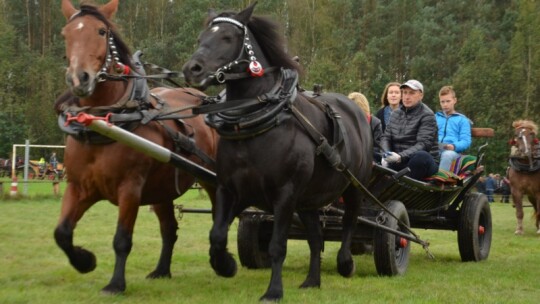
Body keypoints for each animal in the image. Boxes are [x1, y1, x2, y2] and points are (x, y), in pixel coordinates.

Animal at [53, 0, 217, 294]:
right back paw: (162, 270)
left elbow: (122, 239)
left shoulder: (130, 188)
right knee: (169, 229)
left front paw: (115, 284)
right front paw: (85, 261)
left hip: (212, 179)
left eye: (101, 32)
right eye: (66, 33)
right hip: (162, 189)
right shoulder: (79, 187)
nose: (79, 79)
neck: (106, 124)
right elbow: (62, 232)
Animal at [181, 2, 372, 302]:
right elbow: (217, 235)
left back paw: (345, 263)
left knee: (350, 222)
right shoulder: (231, 189)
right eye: (201, 38)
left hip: (353, 186)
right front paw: (226, 265)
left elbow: (277, 246)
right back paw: (312, 280)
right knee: (316, 239)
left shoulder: (284, 194)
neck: (255, 122)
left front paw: (273, 290)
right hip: (308, 200)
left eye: (227, 37)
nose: (192, 69)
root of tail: (354, 110)